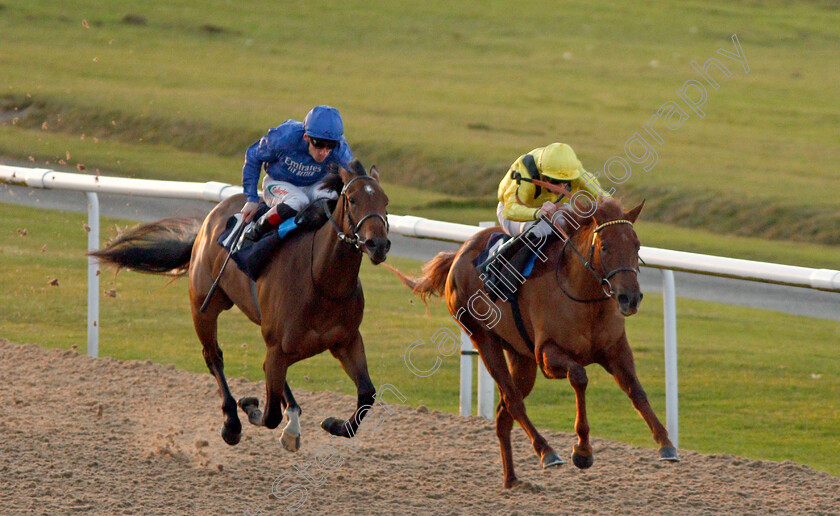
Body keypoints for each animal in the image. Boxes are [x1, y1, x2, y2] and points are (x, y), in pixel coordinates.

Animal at [90, 160, 392, 452]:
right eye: (352, 199)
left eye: (385, 201)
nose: (378, 244)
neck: (320, 279)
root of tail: (214, 214)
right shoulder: (279, 347)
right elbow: (269, 415)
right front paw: (249, 406)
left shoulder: (346, 340)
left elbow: (367, 393)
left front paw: (333, 424)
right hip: (204, 305)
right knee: (214, 357)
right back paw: (233, 423)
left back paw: (291, 421)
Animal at [392, 197, 676, 488]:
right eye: (605, 246)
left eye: (636, 245)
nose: (630, 298)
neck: (584, 296)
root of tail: (459, 253)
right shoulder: (547, 355)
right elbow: (579, 376)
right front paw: (582, 450)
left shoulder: (616, 350)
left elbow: (635, 389)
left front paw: (666, 443)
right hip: (483, 339)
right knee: (513, 401)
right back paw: (547, 451)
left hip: (520, 356)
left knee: (503, 413)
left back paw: (511, 479)